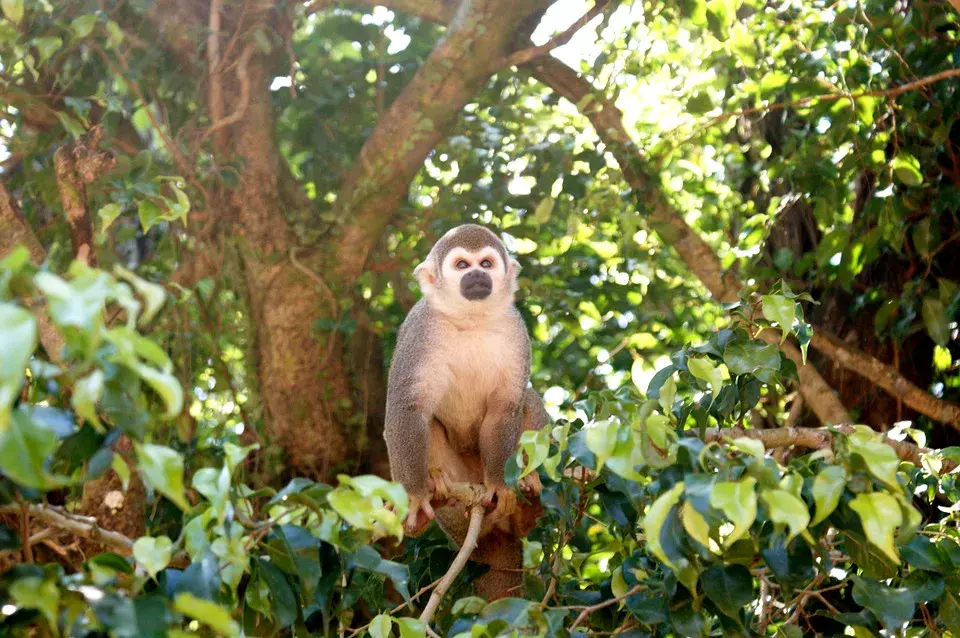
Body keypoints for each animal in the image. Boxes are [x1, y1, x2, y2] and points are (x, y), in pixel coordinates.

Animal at [382, 225, 548, 600]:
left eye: (486, 263)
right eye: (461, 265)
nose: (476, 275)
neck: (470, 319)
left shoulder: (516, 330)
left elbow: (505, 408)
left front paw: (500, 484)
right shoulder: (419, 329)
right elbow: (407, 408)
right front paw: (414, 495)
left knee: (527, 399)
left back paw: (527, 509)